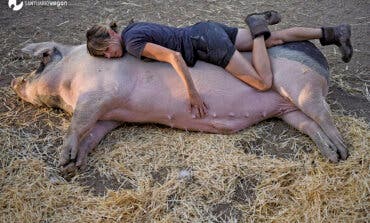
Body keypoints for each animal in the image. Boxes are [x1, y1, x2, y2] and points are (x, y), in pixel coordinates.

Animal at [10, 40, 346, 171]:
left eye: (41, 62)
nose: (13, 82)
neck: (70, 77)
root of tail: (321, 58)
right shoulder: (108, 115)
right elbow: (91, 134)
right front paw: (73, 165)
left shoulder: (99, 94)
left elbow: (78, 122)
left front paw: (62, 158)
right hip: (287, 109)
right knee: (310, 125)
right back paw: (332, 154)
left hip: (301, 88)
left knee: (324, 114)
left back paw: (344, 152)